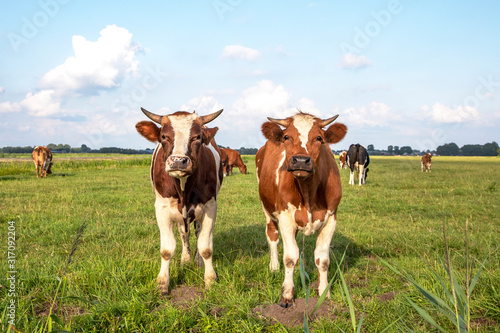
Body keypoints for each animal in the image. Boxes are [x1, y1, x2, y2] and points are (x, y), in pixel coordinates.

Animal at [136, 106, 224, 294]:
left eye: (197, 137)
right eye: (164, 136)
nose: (178, 161)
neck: (183, 187)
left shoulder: (210, 207)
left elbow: (206, 247)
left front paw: (210, 280)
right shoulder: (162, 209)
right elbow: (167, 250)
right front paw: (162, 283)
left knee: (197, 233)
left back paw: (197, 261)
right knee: (184, 234)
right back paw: (186, 259)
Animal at [256, 111, 346, 306]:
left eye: (319, 138)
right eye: (286, 137)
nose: (301, 161)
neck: (308, 192)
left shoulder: (331, 219)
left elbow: (322, 259)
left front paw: (324, 293)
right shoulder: (285, 218)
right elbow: (290, 258)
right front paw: (287, 295)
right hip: (267, 210)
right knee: (272, 236)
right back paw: (274, 266)